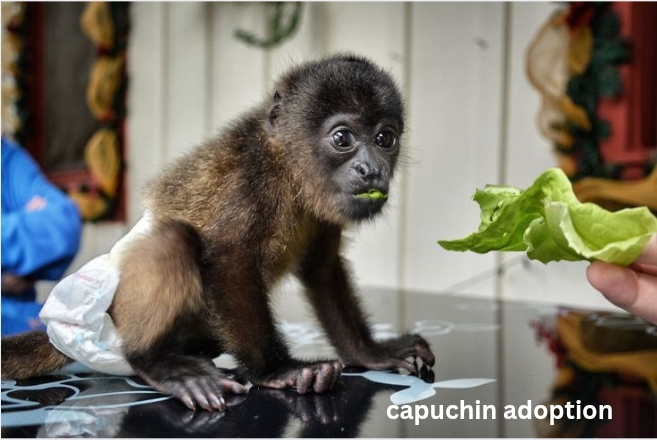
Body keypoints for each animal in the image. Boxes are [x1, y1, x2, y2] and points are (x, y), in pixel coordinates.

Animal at [1, 54, 435, 411]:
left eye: (384, 139)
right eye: (342, 138)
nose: (371, 170)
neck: (289, 169)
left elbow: (322, 268)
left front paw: (371, 352)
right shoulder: (253, 178)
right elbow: (229, 258)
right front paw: (276, 370)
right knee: (173, 239)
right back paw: (159, 362)